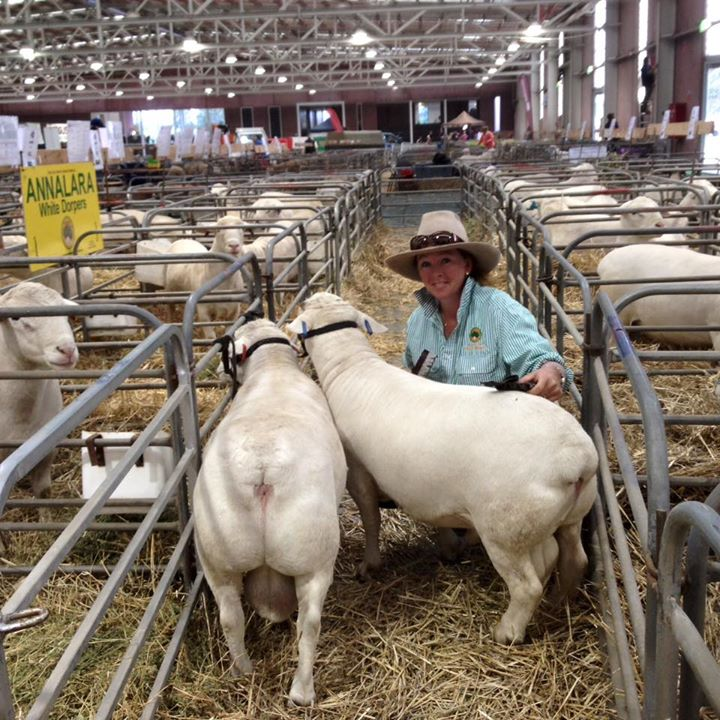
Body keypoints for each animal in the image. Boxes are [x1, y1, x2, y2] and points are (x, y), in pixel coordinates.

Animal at [194, 320, 346, 704]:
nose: (218, 372)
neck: (273, 370)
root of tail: (262, 472)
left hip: (217, 558)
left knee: (230, 618)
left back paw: (242, 672)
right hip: (314, 558)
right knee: (310, 623)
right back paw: (302, 692)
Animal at [286, 296, 596, 644]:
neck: (349, 368)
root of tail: (577, 458)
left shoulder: (358, 472)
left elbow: (370, 517)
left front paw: (369, 565)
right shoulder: (433, 493)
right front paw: (449, 548)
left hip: (505, 529)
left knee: (527, 586)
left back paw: (507, 632)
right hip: (563, 517)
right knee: (572, 558)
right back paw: (559, 601)